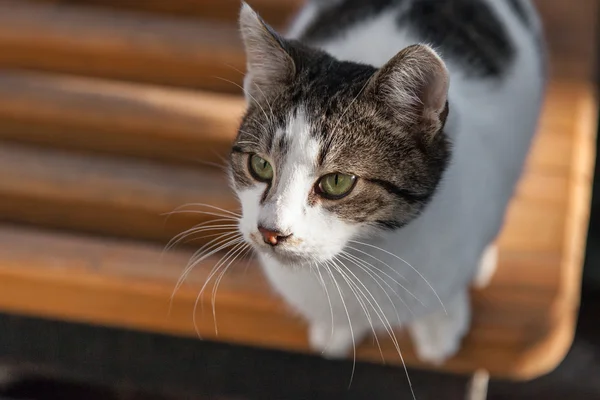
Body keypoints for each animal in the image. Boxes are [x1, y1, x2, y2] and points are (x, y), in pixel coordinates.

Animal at [227, 0, 548, 362]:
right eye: (259, 165)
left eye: (337, 182)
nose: (270, 231)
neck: (361, 257)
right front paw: (336, 328)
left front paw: (441, 322)